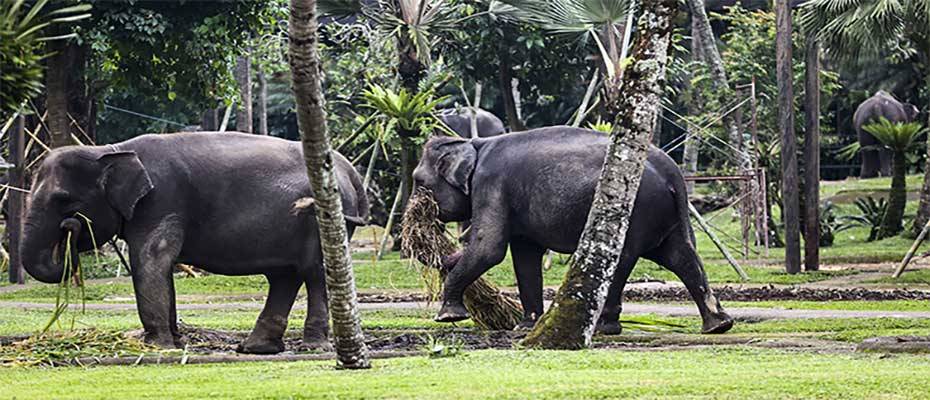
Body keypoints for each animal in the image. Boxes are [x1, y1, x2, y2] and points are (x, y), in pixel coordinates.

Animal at [21, 132, 370, 354]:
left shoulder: (161, 200)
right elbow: (158, 267)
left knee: (314, 273)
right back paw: (254, 349)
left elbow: (151, 259)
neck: (109, 149)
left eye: (62, 200)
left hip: (325, 219)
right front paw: (176, 343)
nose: (71, 226)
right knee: (285, 276)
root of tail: (349, 170)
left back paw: (312, 346)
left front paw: (157, 347)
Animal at [412, 126, 732, 334]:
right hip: (665, 215)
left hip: (635, 208)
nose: (441, 248)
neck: (475, 142)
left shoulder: (491, 185)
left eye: (418, 181)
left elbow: (488, 247)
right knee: (681, 256)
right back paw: (718, 325)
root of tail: (673, 172)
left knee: (621, 257)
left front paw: (447, 317)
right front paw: (524, 327)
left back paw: (603, 327)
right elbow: (524, 256)